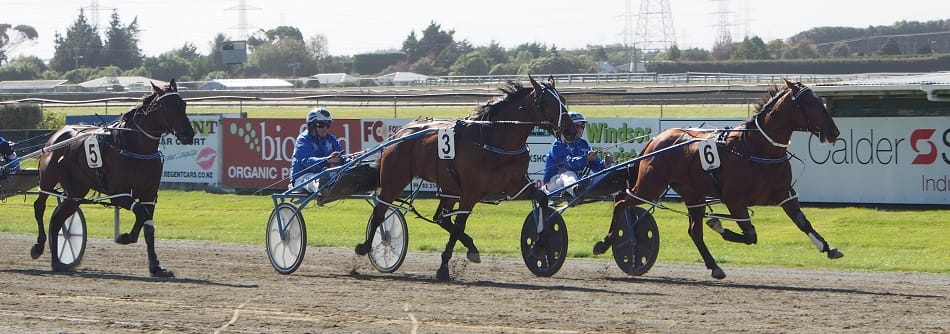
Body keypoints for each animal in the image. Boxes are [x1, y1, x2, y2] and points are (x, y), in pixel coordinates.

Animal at [31, 79, 195, 276]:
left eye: (183, 104)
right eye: (167, 106)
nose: (188, 133)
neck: (135, 147)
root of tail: (56, 135)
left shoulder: (149, 195)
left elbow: (148, 225)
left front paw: (156, 266)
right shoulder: (118, 194)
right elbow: (140, 212)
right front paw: (125, 237)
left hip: (76, 192)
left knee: (57, 219)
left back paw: (57, 262)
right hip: (48, 180)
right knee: (39, 207)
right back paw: (38, 247)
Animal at [356, 75, 580, 280]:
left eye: (562, 99)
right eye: (546, 102)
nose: (570, 130)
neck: (493, 139)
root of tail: (400, 132)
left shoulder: (517, 186)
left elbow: (542, 199)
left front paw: (541, 244)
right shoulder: (471, 192)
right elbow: (459, 225)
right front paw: (443, 267)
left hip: (449, 188)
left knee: (440, 218)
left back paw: (471, 246)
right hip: (394, 180)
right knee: (380, 211)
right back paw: (366, 246)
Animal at [600, 80, 844, 280]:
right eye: (810, 103)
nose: (834, 132)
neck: (756, 148)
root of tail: (655, 139)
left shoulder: (785, 193)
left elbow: (803, 223)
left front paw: (828, 248)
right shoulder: (734, 200)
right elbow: (750, 235)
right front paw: (717, 224)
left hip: (693, 195)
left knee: (694, 231)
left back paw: (714, 266)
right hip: (649, 186)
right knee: (620, 201)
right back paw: (607, 241)